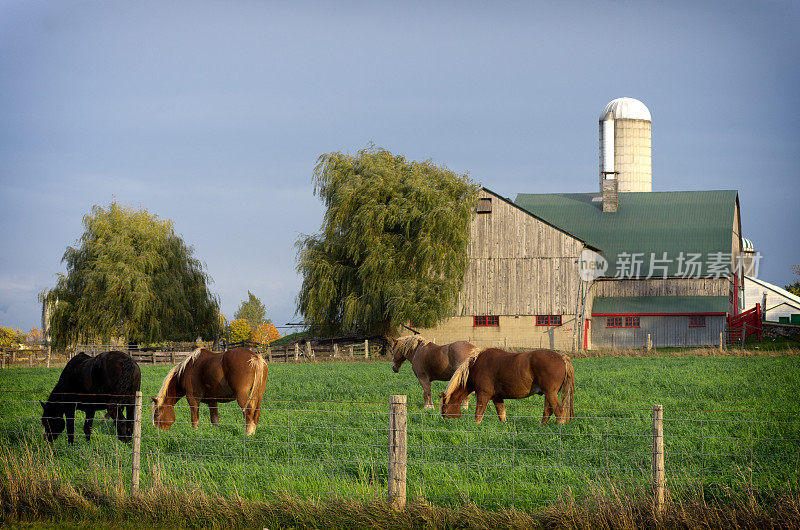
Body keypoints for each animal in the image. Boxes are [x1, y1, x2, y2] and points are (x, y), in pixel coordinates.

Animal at [438, 346, 576, 424]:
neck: (475, 367)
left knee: (558, 410)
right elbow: (502, 415)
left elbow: (478, 414)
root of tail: (562, 358)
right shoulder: (497, 398)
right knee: (548, 410)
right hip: (549, 394)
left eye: (444, 409)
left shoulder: (483, 395)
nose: (444, 422)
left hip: (550, 392)